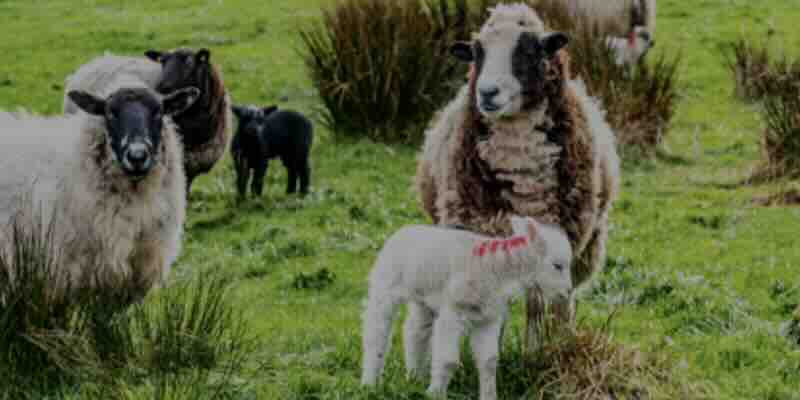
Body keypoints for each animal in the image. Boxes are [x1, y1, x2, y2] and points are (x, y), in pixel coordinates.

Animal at [361, 216, 572, 400]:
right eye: (557, 265)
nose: (567, 292)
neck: (498, 271)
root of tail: (403, 231)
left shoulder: (488, 317)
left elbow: (489, 361)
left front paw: (489, 397)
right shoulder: (454, 311)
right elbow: (448, 360)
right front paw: (435, 395)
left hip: (423, 298)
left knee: (415, 331)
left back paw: (414, 378)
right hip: (385, 284)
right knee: (376, 333)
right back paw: (369, 383)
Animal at [415, 3, 620, 346]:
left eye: (527, 50)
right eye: (477, 53)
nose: (487, 93)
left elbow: (540, 304)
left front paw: (537, 350)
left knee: (564, 298)